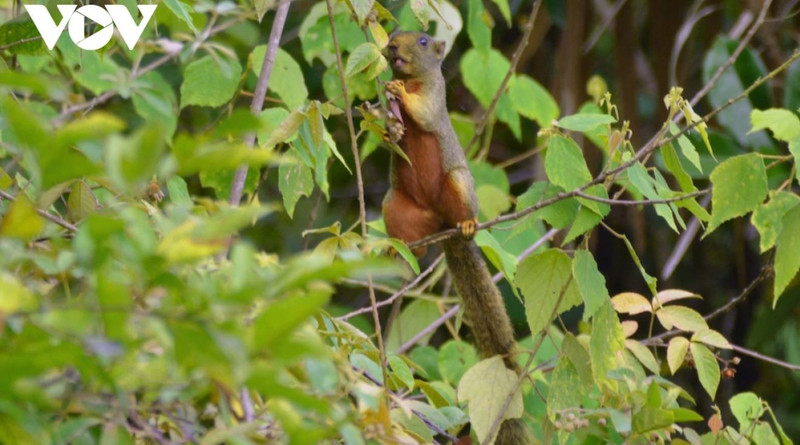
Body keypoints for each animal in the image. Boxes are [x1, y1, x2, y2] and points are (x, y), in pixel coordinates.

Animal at [381, 32, 530, 445]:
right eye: (393, 34)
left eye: (422, 40)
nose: (392, 48)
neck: (416, 78)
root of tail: (440, 224)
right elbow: (391, 133)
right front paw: (389, 120)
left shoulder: (436, 94)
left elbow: (424, 113)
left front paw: (398, 89)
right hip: (395, 205)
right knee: (415, 243)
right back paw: (400, 249)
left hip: (459, 183)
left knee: (462, 206)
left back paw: (466, 225)